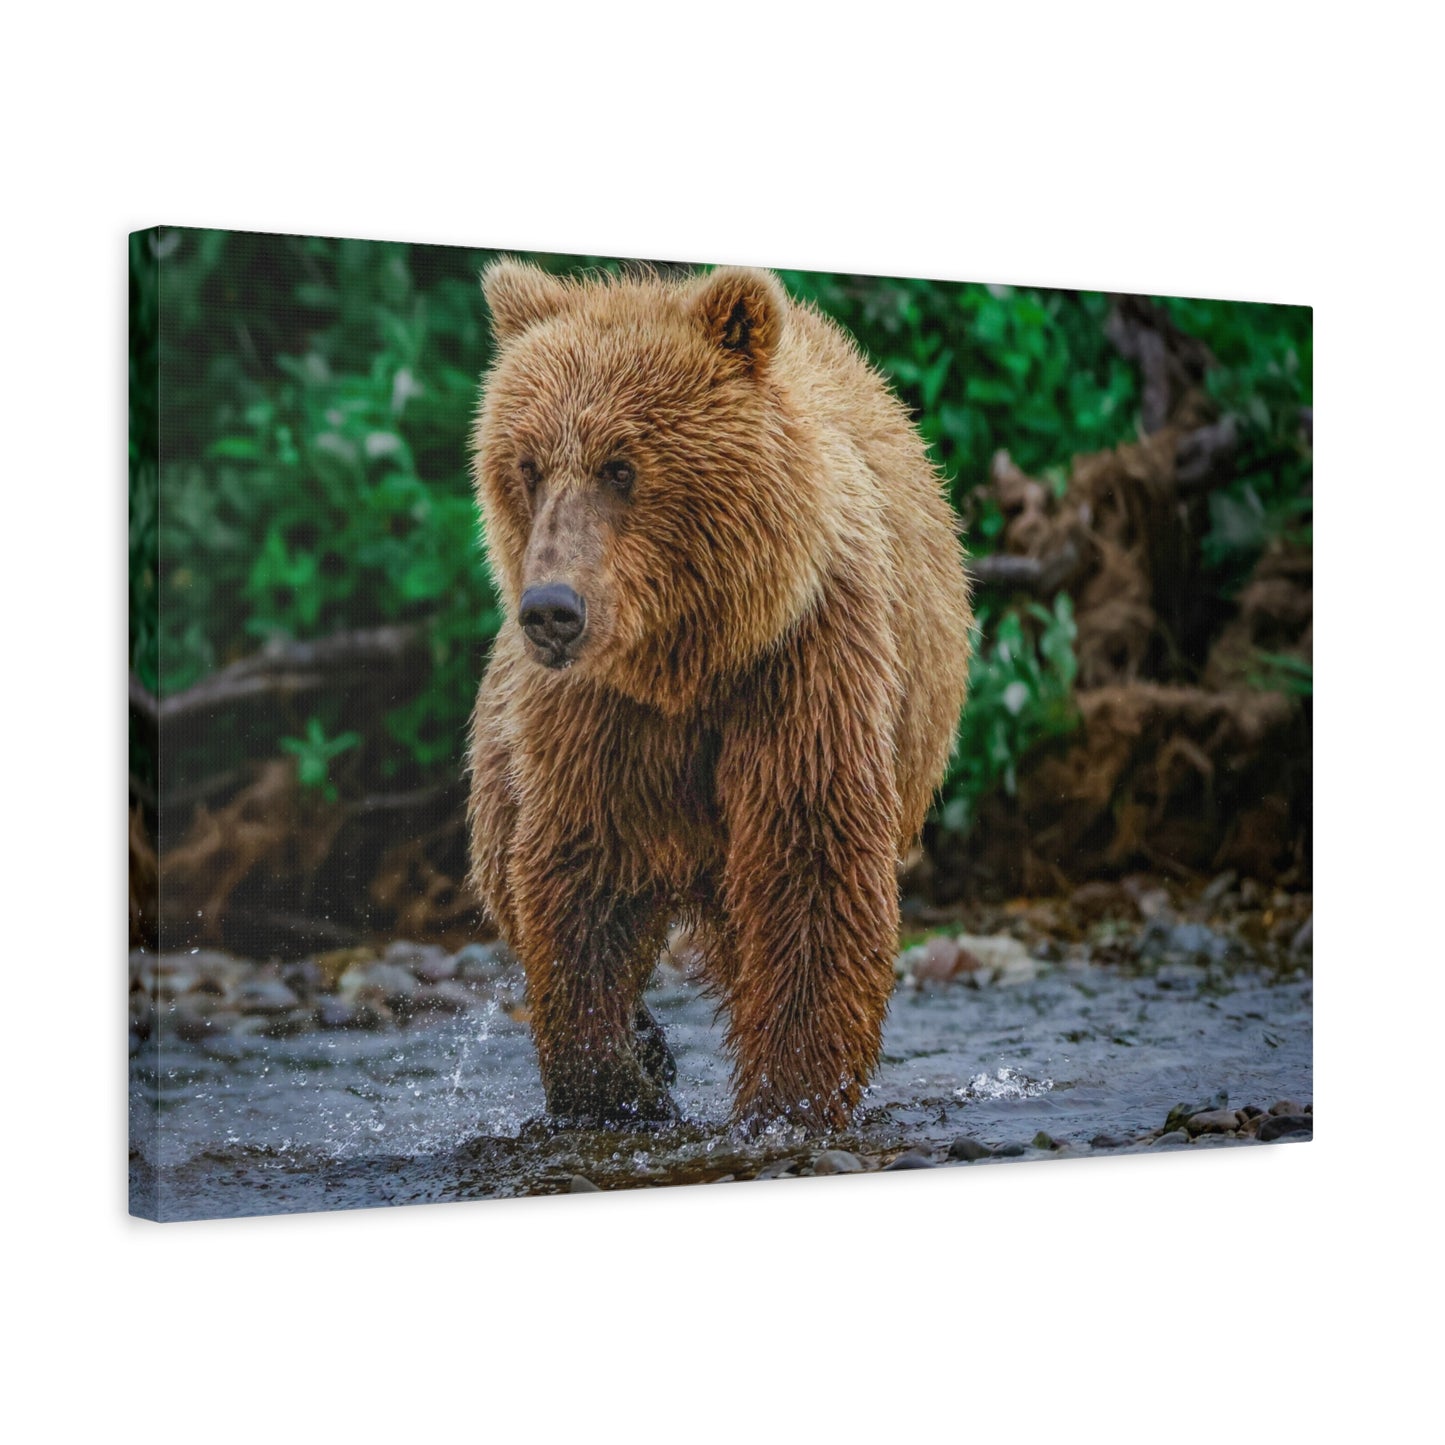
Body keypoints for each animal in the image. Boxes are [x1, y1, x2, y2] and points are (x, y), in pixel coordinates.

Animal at [467, 260, 972, 1133]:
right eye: (526, 465)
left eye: (621, 465)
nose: (552, 611)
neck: (690, 658)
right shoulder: (599, 716)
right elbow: (580, 873)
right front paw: (615, 1083)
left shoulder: (803, 664)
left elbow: (811, 866)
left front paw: (788, 1094)